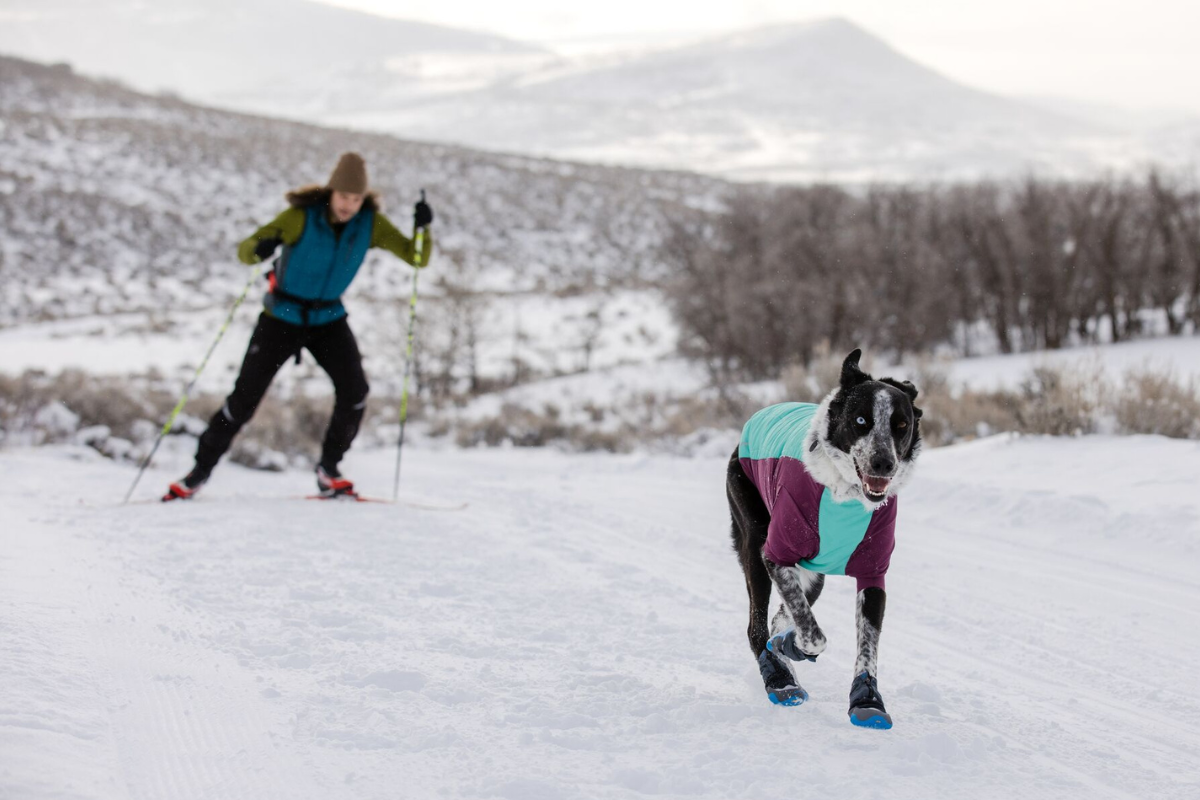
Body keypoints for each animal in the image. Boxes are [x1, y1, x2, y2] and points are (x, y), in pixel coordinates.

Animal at [724, 352, 921, 729]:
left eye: (901, 425)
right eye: (861, 420)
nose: (884, 463)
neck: (844, 495)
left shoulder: (873, 572)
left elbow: (867, 643)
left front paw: (867, 699)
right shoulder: (776, 554)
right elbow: (813, 635)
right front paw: (793, 649)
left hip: (813, 574)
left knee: (783, 615)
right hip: (755, 545)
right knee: (757, 626)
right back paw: (779, 678)